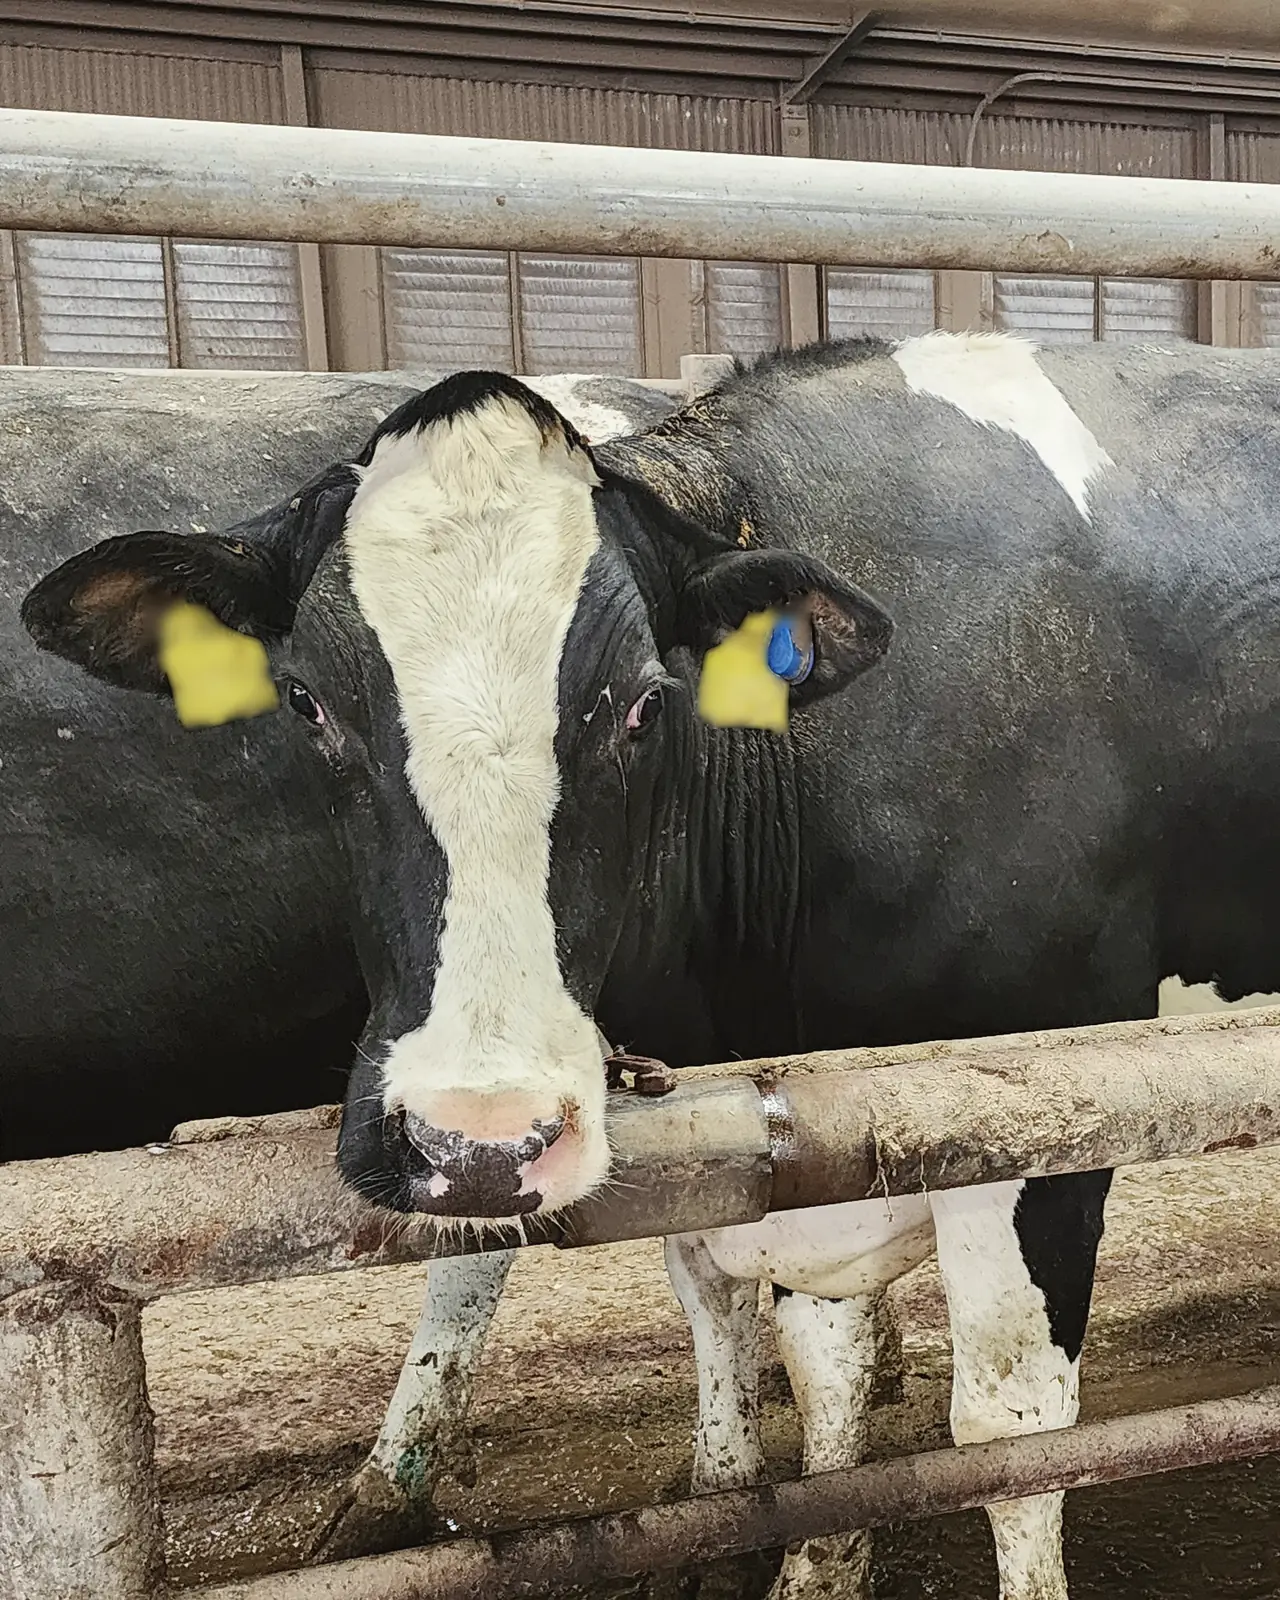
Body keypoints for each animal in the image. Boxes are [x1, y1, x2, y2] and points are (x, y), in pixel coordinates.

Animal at [25, 332, 1280, 1598]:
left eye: (639, 703)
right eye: (306, 703)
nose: (477, 1141)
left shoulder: (1051, 1108)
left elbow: (1008, 1433)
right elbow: (796, 1354)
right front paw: (813, 1562)